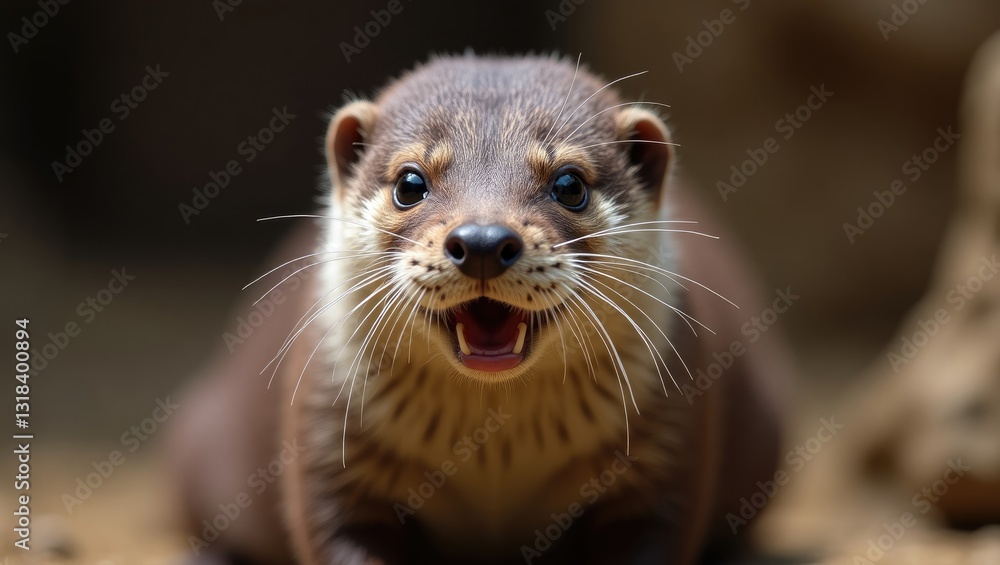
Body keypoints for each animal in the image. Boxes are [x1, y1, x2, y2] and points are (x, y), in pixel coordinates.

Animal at [169, 54, 788, 565]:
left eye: (569, 184)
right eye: (410, 182)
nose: (484, 239)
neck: (497, 468)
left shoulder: (668, 449)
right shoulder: (326, 444)